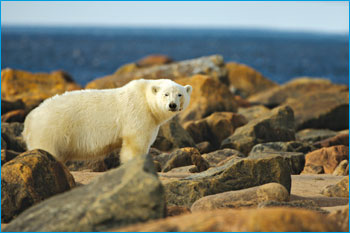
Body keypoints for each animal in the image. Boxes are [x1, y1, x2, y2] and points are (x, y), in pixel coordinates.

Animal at [22, 79, 191, 163]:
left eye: (180, 94)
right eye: (166, 94)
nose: (172, 105)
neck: (145, 98)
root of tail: (29, 119)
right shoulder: (137, 113)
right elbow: (135, 143)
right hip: (51, 131)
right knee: (47, 149)